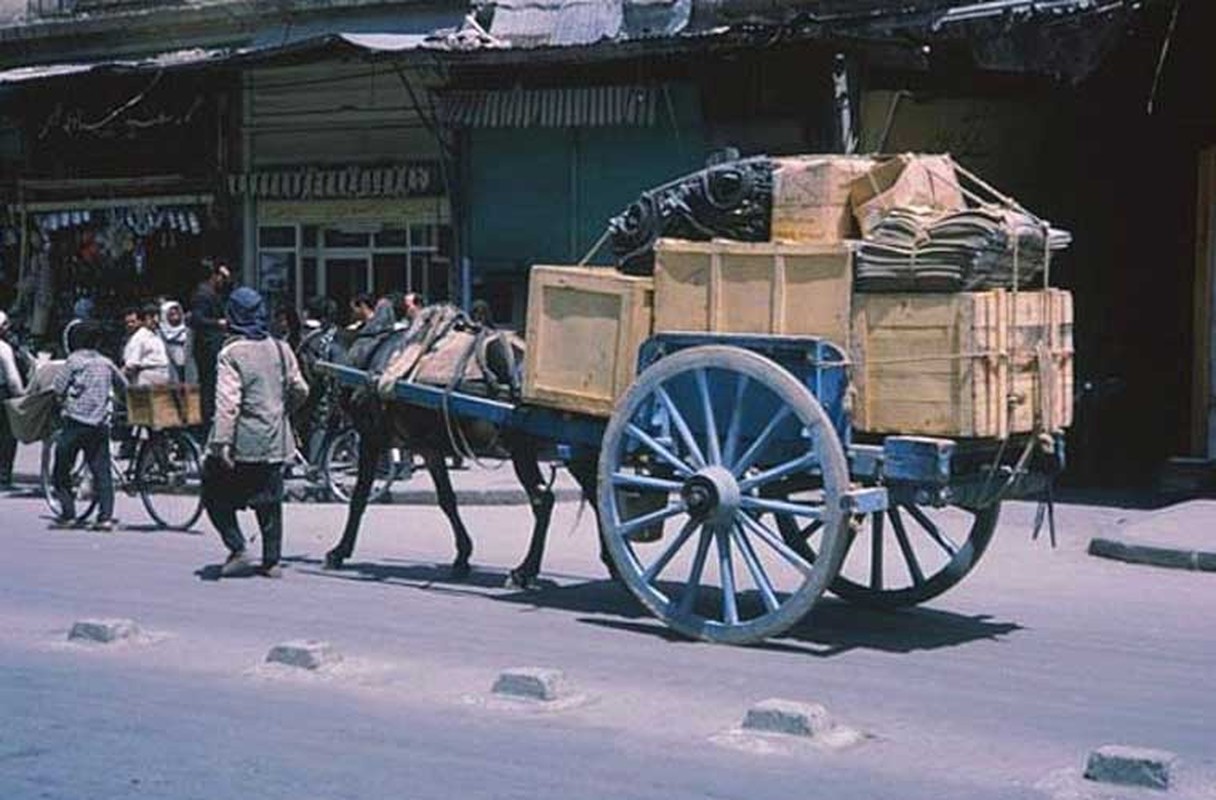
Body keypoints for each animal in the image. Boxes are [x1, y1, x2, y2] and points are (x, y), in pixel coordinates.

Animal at [321, 300, 608, 586]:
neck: (366, 356)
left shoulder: (371, 438)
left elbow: (359, 496)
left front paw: (339, 551)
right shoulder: (428, 447)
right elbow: (447, 499)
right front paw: (462, 555)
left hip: (523, 450)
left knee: (543, 500)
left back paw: (524, 571)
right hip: (575, 450)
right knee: (596, 493)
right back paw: (610, 563)